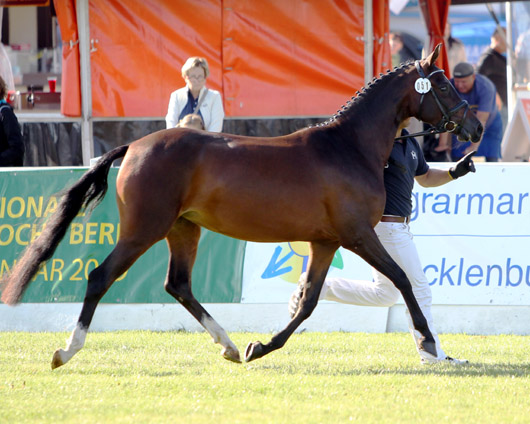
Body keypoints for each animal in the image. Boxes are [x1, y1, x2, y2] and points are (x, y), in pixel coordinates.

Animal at [0, 44, 478, 370]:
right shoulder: (357, 234)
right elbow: (402, 279)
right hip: (144, 229)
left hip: (183, 229)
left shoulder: (324, 242)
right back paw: (67, 350)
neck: (348, 147)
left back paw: (230, 345)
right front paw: (430, 342)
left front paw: (259, 346)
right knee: (101, 276)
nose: (474, 126)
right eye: (441, 83)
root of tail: (133, 145)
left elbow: (308, 301)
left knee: (178, 285)